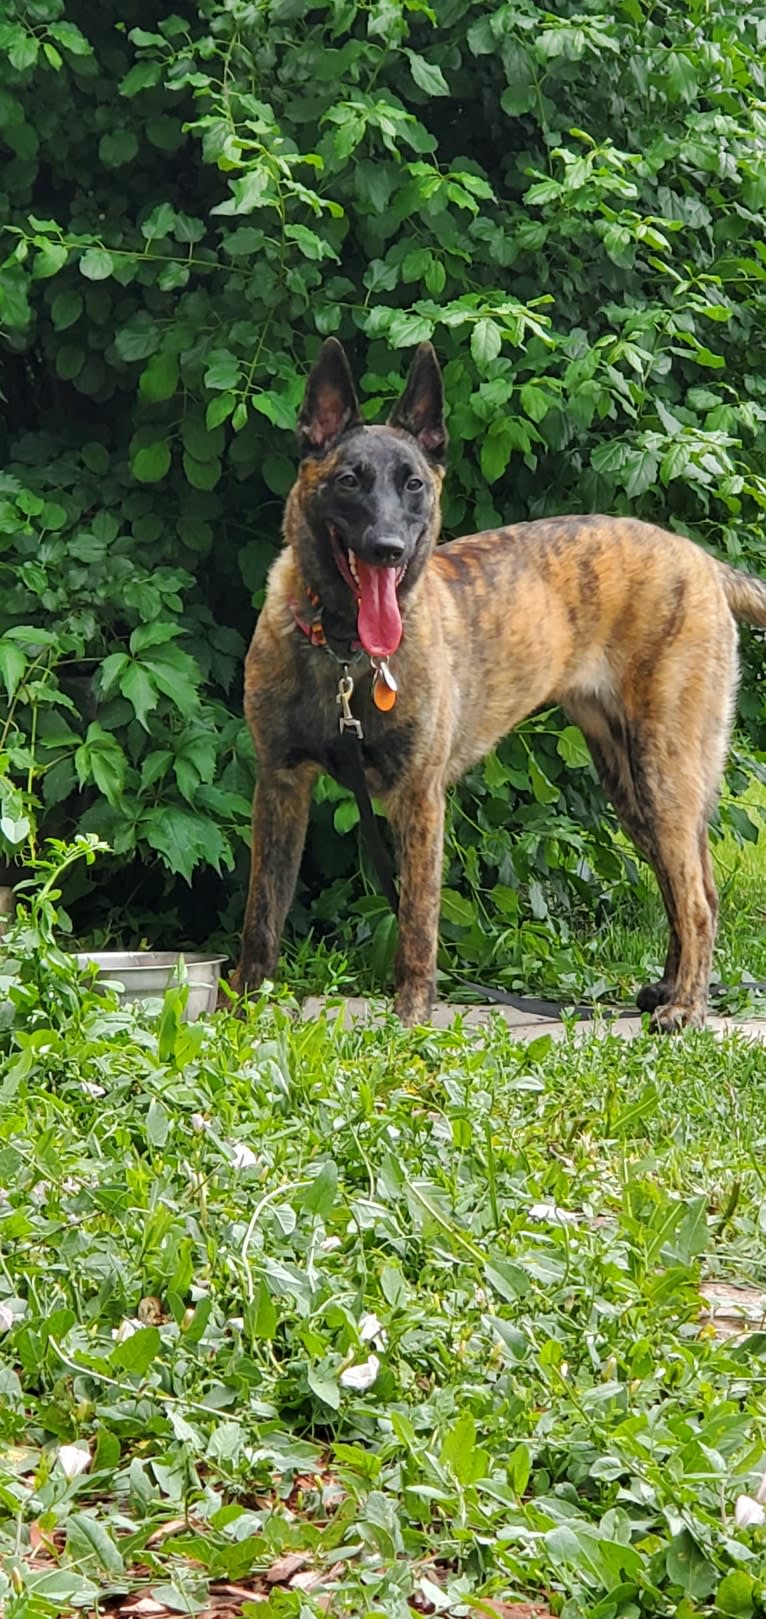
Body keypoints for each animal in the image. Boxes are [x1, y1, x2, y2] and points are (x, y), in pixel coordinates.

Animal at [231, 335, 764, 1029]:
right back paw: (671, 990)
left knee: (696, 899)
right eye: (349, 481)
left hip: (665, 768)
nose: (388, 548)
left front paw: (409, 1022)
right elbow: (261, 917)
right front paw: (241, 1012)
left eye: (413, 485)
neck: (345, 654)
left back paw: (687, 1008)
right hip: (633, 782)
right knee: (694, 886)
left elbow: (417, 923)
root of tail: (702, 561)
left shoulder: (418, 799)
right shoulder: (280, 784)